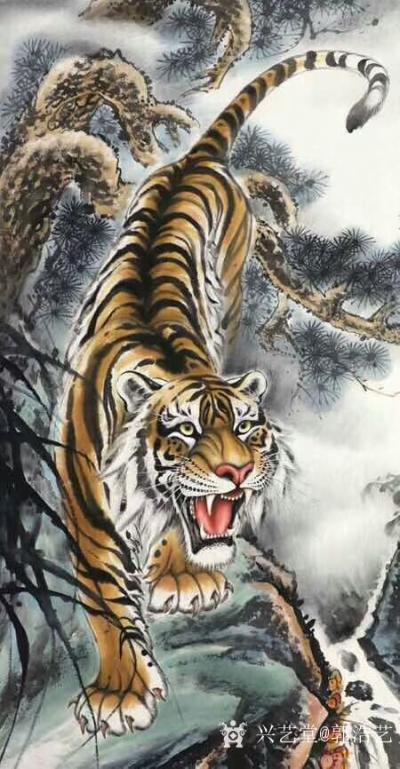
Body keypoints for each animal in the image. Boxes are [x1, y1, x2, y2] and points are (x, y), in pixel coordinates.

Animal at [56, 50, 388, 737]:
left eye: (246, 429)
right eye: (184, 431)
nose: (236, 473)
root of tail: (197, 159)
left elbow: (179, 527)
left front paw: (185, 579)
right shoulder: (82, 504)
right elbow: (104, 596)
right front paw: (121, 695)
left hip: (232, 288)